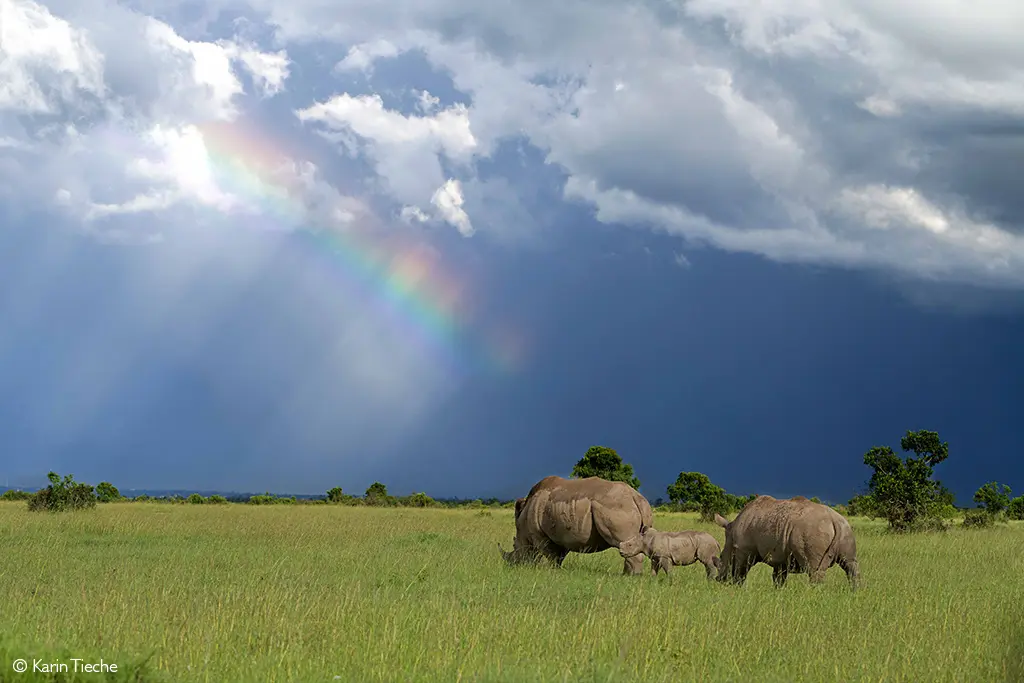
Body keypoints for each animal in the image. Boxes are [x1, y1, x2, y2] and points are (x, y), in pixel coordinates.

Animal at [499, 475, 654, 575]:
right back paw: (626, 575)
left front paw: (551, 572)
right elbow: (558, 555)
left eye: (514, 546)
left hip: (617, 507)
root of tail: (636, 497)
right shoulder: (562, 535)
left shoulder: (539, 535)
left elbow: (550, 554)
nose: (512, 566)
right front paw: (557, 570)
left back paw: (630, 577)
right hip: (633, 507)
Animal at [714, 495, 860, 590]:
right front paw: (778, 591)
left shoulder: (743, 549)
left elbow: (740, 571)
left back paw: (813, 595)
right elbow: (778, 577)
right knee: (850, 565)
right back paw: (855, 592)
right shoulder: (780, 556)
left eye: (721, 556)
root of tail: (834, 520)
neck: (732, 531)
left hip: (813, 531)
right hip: (845, 529)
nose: (718, 580)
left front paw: (737, 588)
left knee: (814, 570)